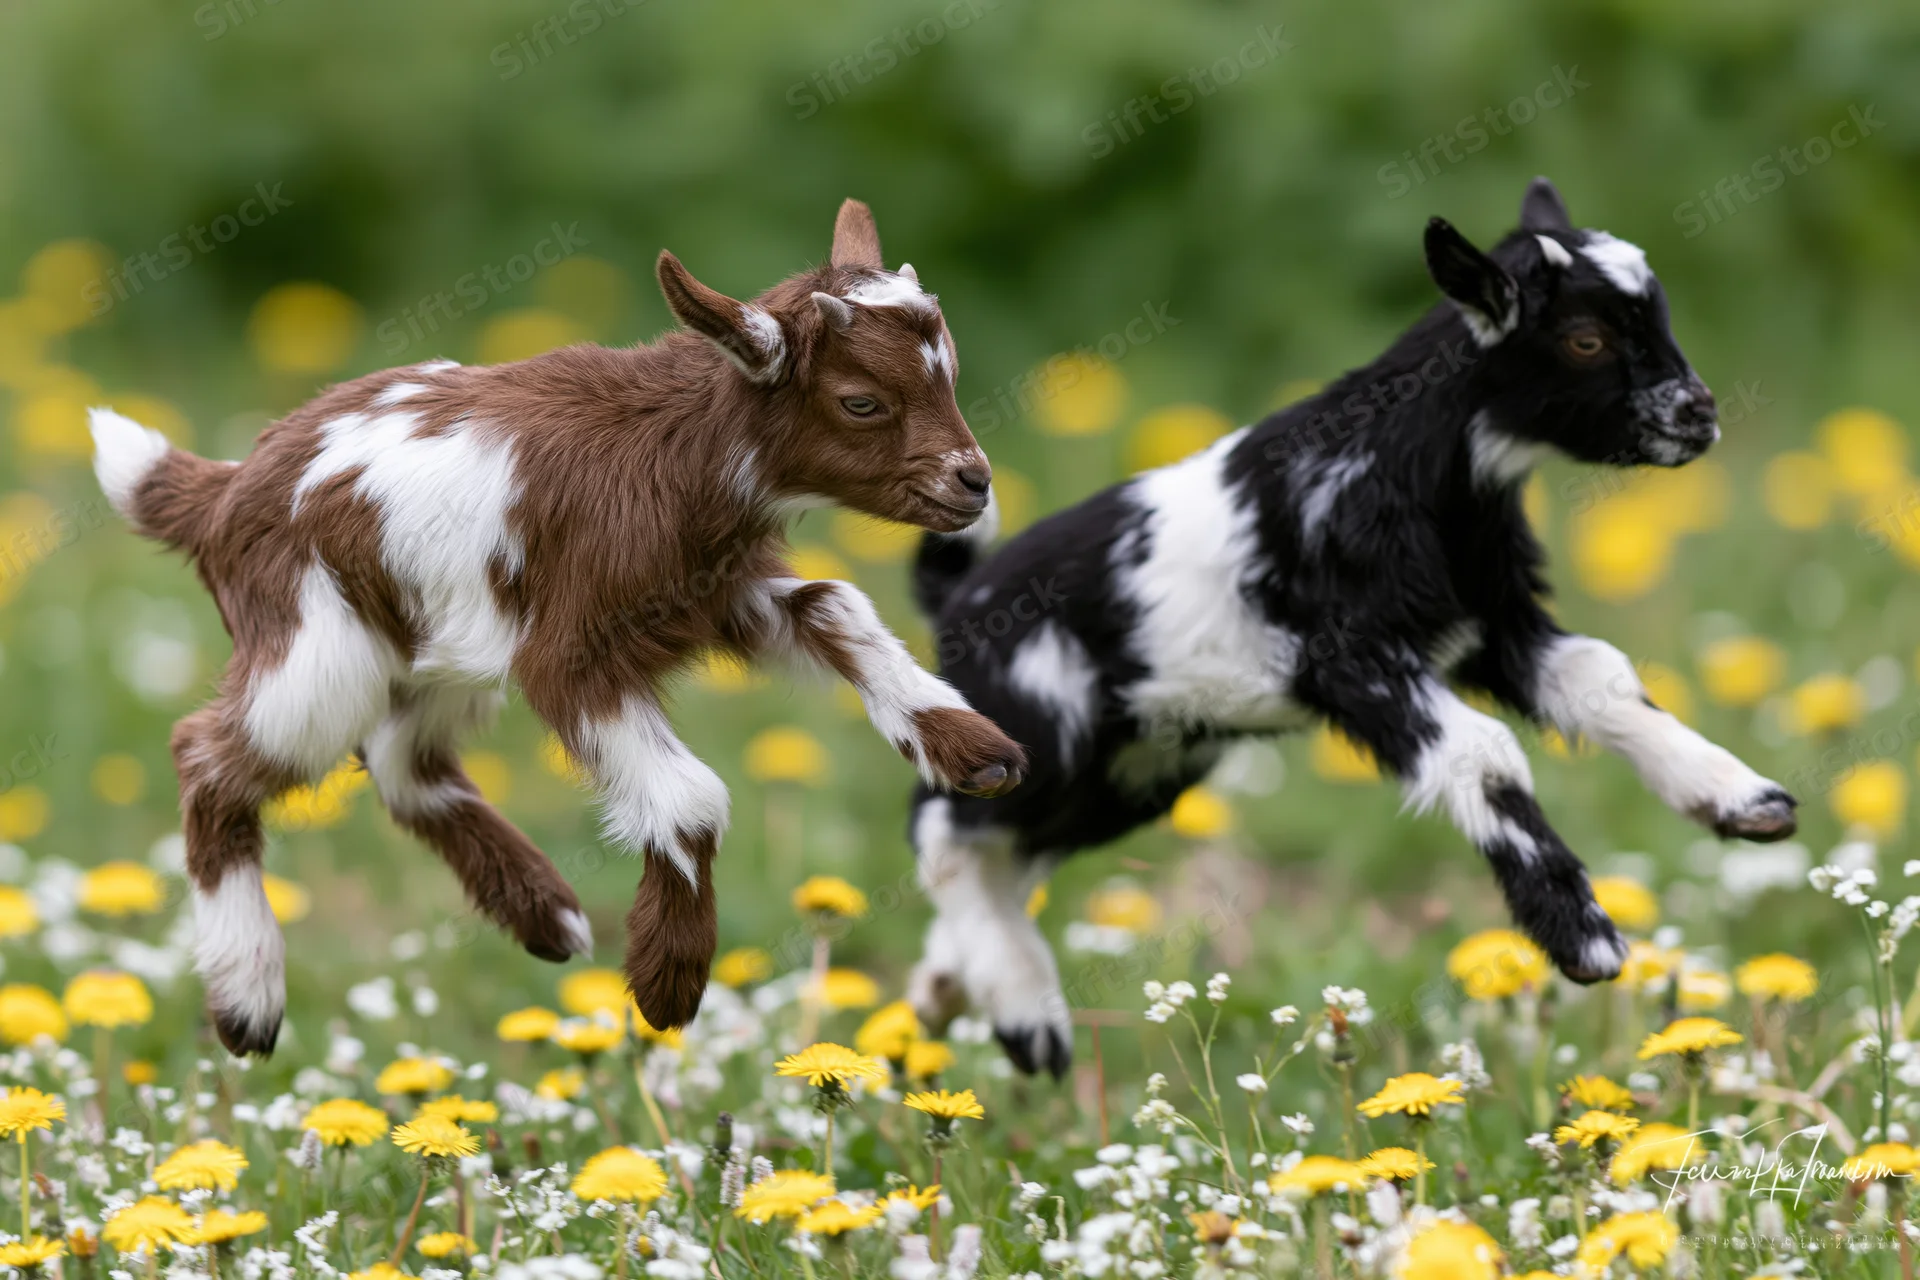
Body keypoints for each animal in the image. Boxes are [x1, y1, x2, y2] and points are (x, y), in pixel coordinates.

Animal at [90, 199, 1026, 1056]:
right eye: (860, 401)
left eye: (946, 375)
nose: (974, 482)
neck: (669, 449)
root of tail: (223, 490)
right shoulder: (569, 653)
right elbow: (690, 799)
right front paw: (666, 982)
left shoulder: (716, 592)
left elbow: (837, 603)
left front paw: (972, 749)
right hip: (319, 643)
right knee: (210, 757)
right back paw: (247, 998)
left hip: (443, 645)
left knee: (401, 760)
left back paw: (546, 916)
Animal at [906, 178, 1797, 1077]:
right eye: (1585, 339)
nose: (1699, 416)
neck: (1401, 466)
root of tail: (958, 602)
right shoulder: (1353, 659)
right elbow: (1485, 754)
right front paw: (1584, 940)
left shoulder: (1494, 626)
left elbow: (1601, 677)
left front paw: (1743, 800)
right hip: (1048, 729)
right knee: (944, 829)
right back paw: (1024, 1013)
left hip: (1140, 763)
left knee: (1007, 854)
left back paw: (950, 989)